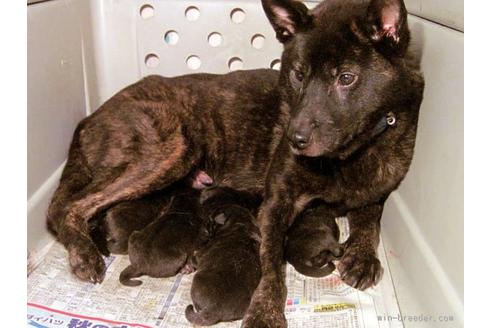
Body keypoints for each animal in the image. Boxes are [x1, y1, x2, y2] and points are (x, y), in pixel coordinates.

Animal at [184, 187, 262, 326]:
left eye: (209, 220)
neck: (241, 223)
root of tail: (214, 309)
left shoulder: (201, 253)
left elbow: (194, 257)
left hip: (197, 281)